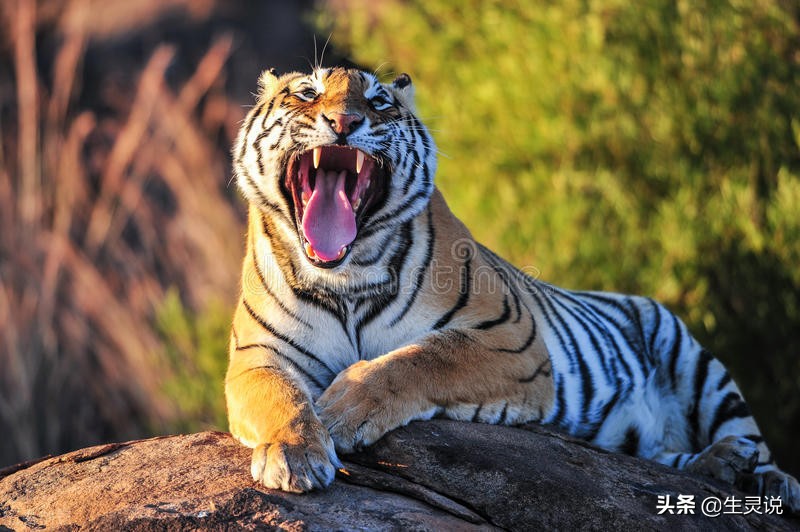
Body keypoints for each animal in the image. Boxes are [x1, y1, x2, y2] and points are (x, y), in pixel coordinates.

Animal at [225, 67, 800, 512]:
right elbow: (277, 395)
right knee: (663, 457)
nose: (345, 122)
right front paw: (294, 453)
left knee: (751, 439)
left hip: (695, 361)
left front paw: (344, 408)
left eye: (378, 100)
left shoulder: (508, 337)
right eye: (307, 92)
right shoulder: (257, 353)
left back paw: (766, 477)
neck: (345, 276)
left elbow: (418, 360)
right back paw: (723, 464)